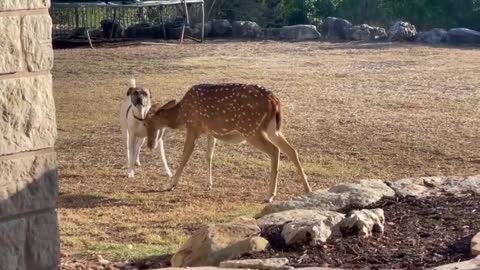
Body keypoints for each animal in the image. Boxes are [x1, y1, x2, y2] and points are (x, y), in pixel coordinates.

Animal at [144, 83, 314, 201]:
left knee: (274, 150)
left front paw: (169, 185)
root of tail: (275, 102)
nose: (150, 144)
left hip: (251, 129)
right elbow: (209, 156)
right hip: (273, 128)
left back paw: (270, 195)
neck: (181, 116)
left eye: (145, 122)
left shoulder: (193, 126)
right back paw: (308, 189)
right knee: (291, 150)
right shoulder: (210, 132)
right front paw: (209, 184)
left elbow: (185, 155)